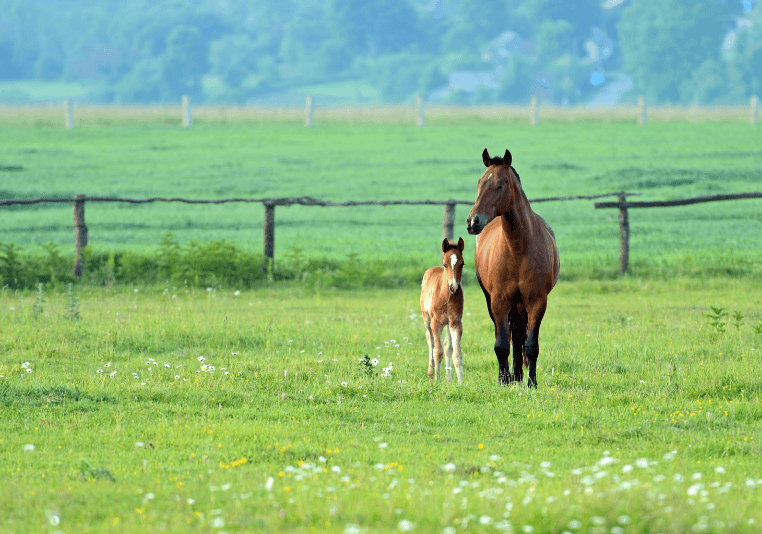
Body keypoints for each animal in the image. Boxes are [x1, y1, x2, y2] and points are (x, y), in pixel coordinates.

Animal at [420, 237, 465, 384]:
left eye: (462, 264)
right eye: (445, 264)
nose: (454, 288)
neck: (446, 296)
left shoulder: (455, 322)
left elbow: (456, 353)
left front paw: (461, 383)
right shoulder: (436, 322)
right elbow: (437, 351)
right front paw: (437, 380)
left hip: (447, 324)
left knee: (447, 347)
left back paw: (449, 379)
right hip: (427, 319)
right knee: (430, 340)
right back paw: (431, 372)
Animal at [466, 149, 559, 388]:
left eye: (499, 185)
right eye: (479, 183)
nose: (472, 222)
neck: (519, 248)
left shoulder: (537, 301)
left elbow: (531, 345)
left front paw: (532, 382)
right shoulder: (499, 301)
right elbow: (501, 344)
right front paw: (503, 379)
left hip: (520, 304)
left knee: (518, 335)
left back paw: (518, 374)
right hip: (495, 300)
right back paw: (510, 375)